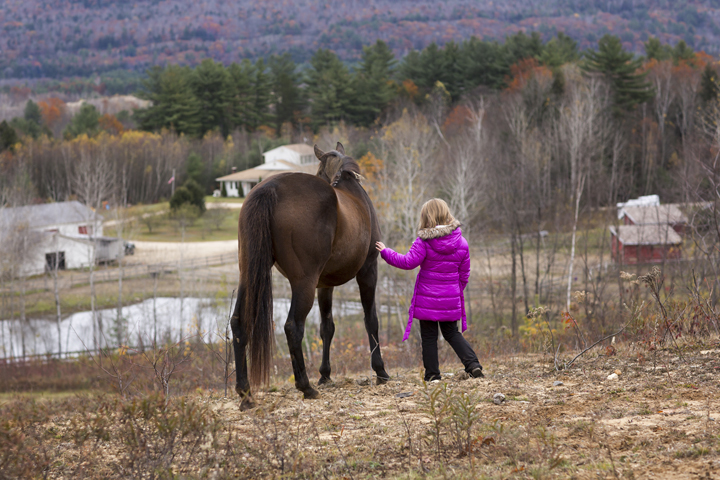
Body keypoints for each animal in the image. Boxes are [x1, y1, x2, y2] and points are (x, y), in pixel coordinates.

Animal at [231, 142, 390, 410]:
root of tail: (270, 189)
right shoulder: (368, 270)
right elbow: (371, 320)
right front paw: (380, 371)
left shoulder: (324, 284)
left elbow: (327, 327)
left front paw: (325, 374)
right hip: (303, 283)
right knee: (293, 327)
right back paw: (305, 387)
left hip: (249, 276)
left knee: (239, 323)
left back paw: (245, 394)